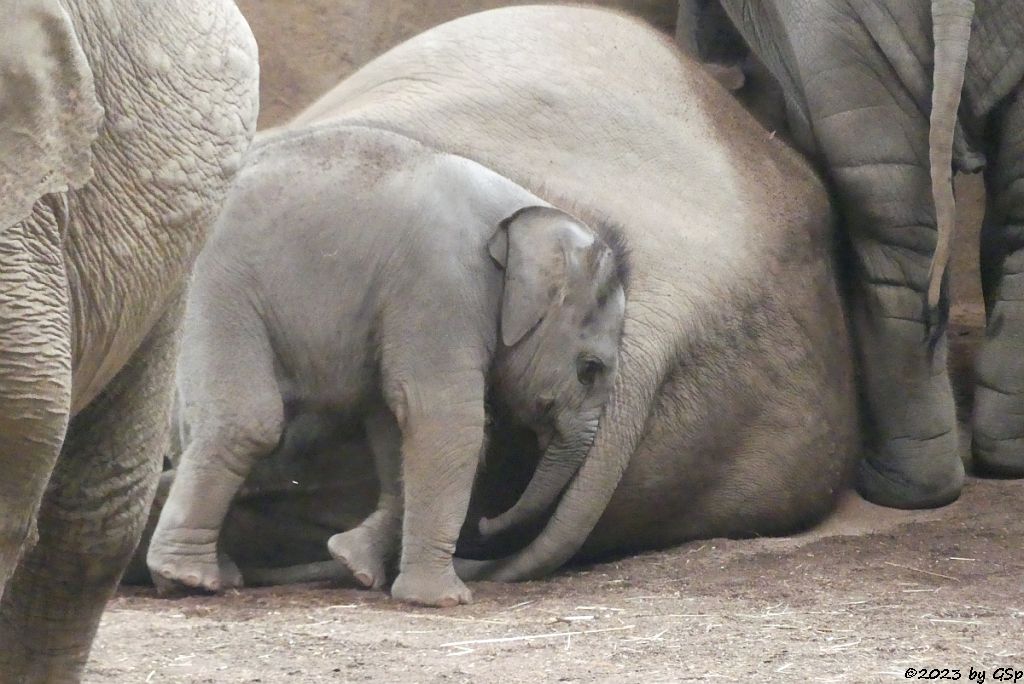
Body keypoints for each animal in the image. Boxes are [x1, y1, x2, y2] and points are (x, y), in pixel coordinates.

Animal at [143, 125, 622, 606]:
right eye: (590, 369)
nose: (488, 525)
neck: (521, 216)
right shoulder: (441, 287)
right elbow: (447, 419)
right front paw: (443, 599)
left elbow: (395, 431)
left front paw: (353, 563)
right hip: (217, 284)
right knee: (247, 422)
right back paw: (188, 577)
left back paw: (208, 574)